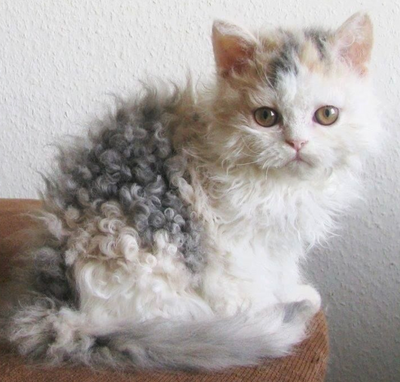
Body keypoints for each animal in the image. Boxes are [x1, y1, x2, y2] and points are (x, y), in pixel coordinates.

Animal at [1, 13, 380, 372]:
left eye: (326, 115)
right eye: (266, 117)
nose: (297, 143)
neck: (284, 186)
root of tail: (59, 305)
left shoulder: (279, 240)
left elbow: (281, 270)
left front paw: (293, 292)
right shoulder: (232, 238)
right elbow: (244, 283)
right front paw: (265, 310)